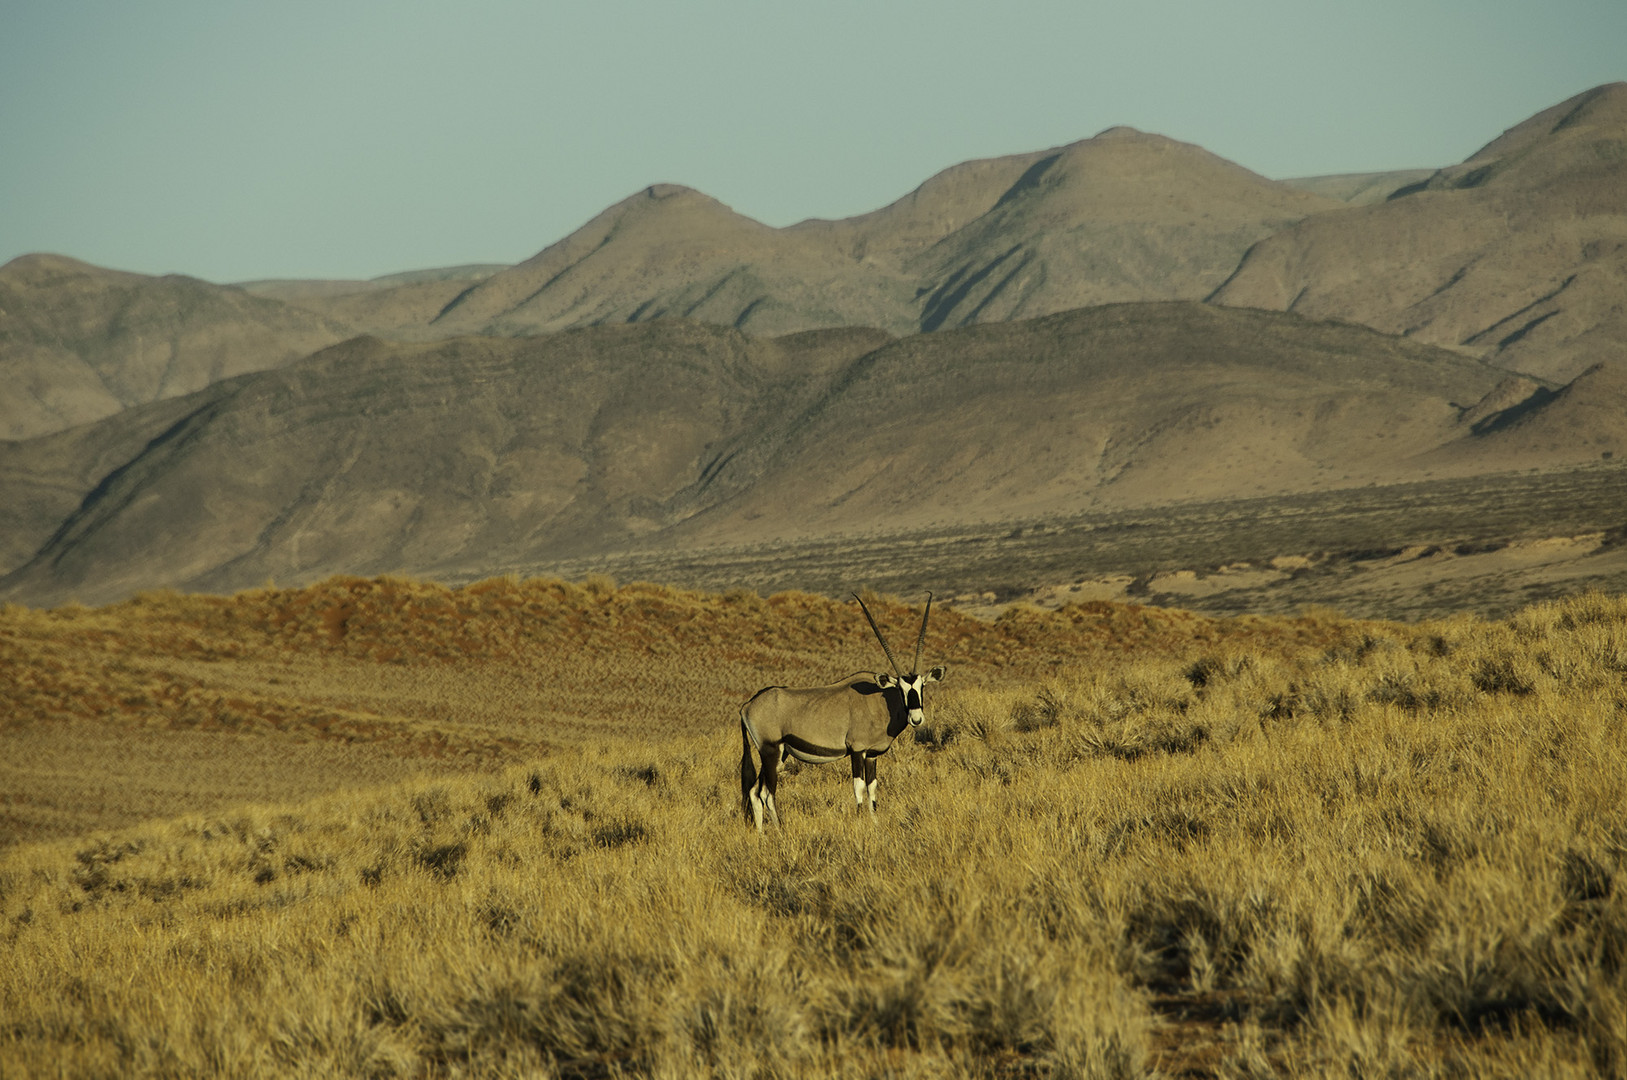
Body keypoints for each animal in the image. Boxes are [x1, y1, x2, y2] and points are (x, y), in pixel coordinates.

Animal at [738, 595, 943, 829]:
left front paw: (874, 823)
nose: (916, 718)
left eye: (921, 686)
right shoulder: (857, 750)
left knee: (754, 791)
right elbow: (858, 788)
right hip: (770, 751)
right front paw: (860, 821)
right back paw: (780, 831)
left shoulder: (871, 755)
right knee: (767, 793)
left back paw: (761, 833)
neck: (879, 701)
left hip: (779, 755)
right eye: (901, 689)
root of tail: (747, 705)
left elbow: (872, 788)